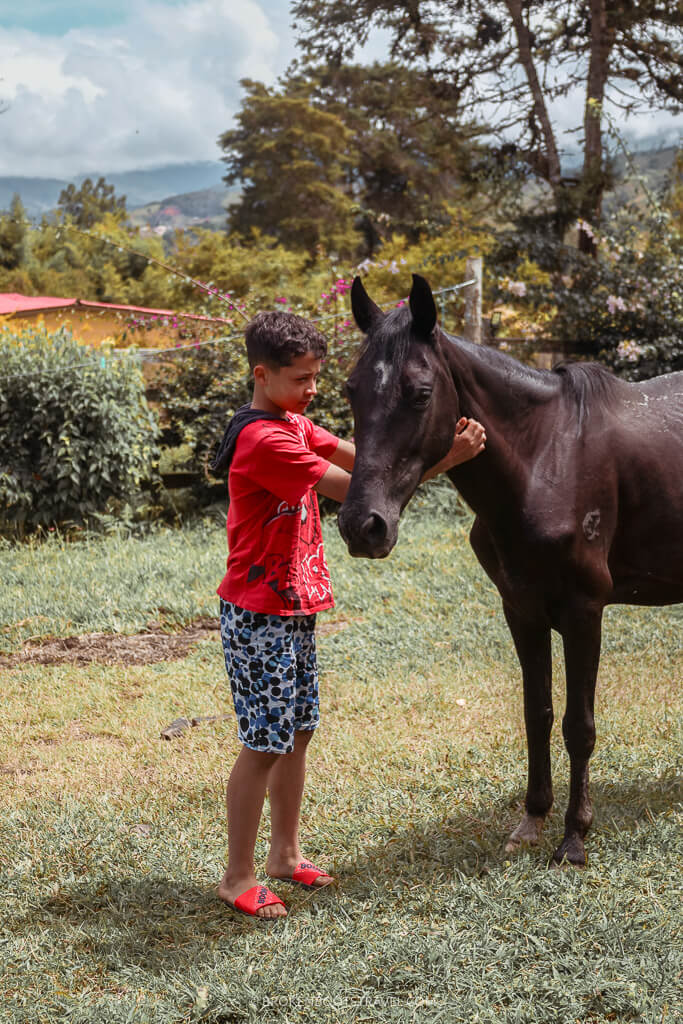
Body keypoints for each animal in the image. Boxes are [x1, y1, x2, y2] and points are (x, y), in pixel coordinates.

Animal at [338, 273, 683, 866]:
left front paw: (574, 837)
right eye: (351, 390)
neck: (546, 459)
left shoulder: (584, 611)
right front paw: (533, 819)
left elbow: (578, 725)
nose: (364, 526)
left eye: (420, 393)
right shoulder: (521, 609)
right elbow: (536, 712)